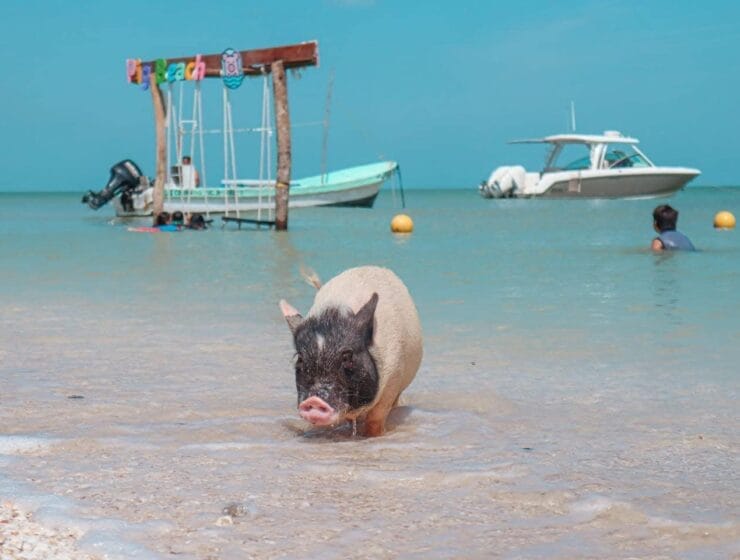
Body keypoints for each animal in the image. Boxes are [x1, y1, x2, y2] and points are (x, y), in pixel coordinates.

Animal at [279, 266, 423, 437]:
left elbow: (375, 419)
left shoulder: (393, 379)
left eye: (347, 356)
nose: (313, 401)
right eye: (300, 359)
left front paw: (371, 436)